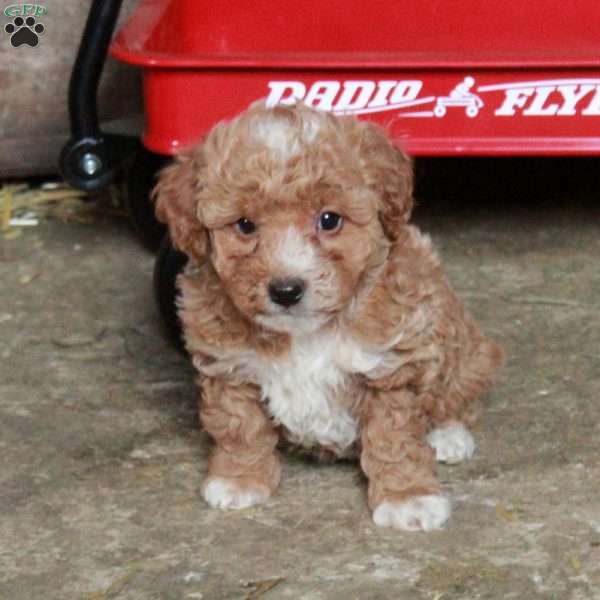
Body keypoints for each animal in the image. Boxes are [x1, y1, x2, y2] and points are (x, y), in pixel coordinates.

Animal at [155, 102, 502, 528]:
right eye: (245, 225)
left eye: (329, 219)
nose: (286, 290)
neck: (307, 331)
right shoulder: (229, 366)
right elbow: (240, 425)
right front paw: (240, 479)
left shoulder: (391, 367)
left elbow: (395, 437)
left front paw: (407, 498)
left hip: (460, 343)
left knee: (456, 390)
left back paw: (449, 434)